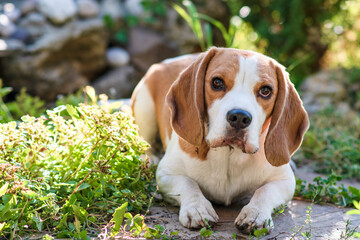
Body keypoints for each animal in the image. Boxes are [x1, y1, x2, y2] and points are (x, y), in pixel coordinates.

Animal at [131, 47, 308, 233]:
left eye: (266, 91)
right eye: (217, 82)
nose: (239, 117)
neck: (229, 154)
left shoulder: (285, 181)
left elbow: (264, 191)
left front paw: (256, 213)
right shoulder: (166, 174)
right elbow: (188, 183)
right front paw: (197, 208)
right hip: (144, 110)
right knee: (146, 141)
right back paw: (149, 158)